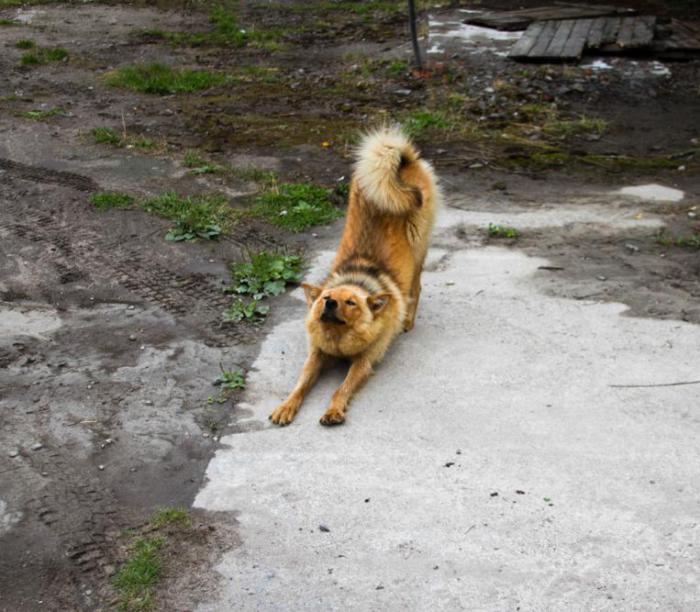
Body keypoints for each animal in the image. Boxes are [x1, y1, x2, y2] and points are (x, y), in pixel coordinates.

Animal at [269, 126, 439, 426]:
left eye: (351, 302)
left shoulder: (365, 361)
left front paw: (333, 410)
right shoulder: (315, 355)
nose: (329, 303)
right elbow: (300, 384)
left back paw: (407, 319)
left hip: (419, 245)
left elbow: (342, 387)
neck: (339, 340)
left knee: (417, 287)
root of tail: (403, 160)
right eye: (326, 296)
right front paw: (286, 406)